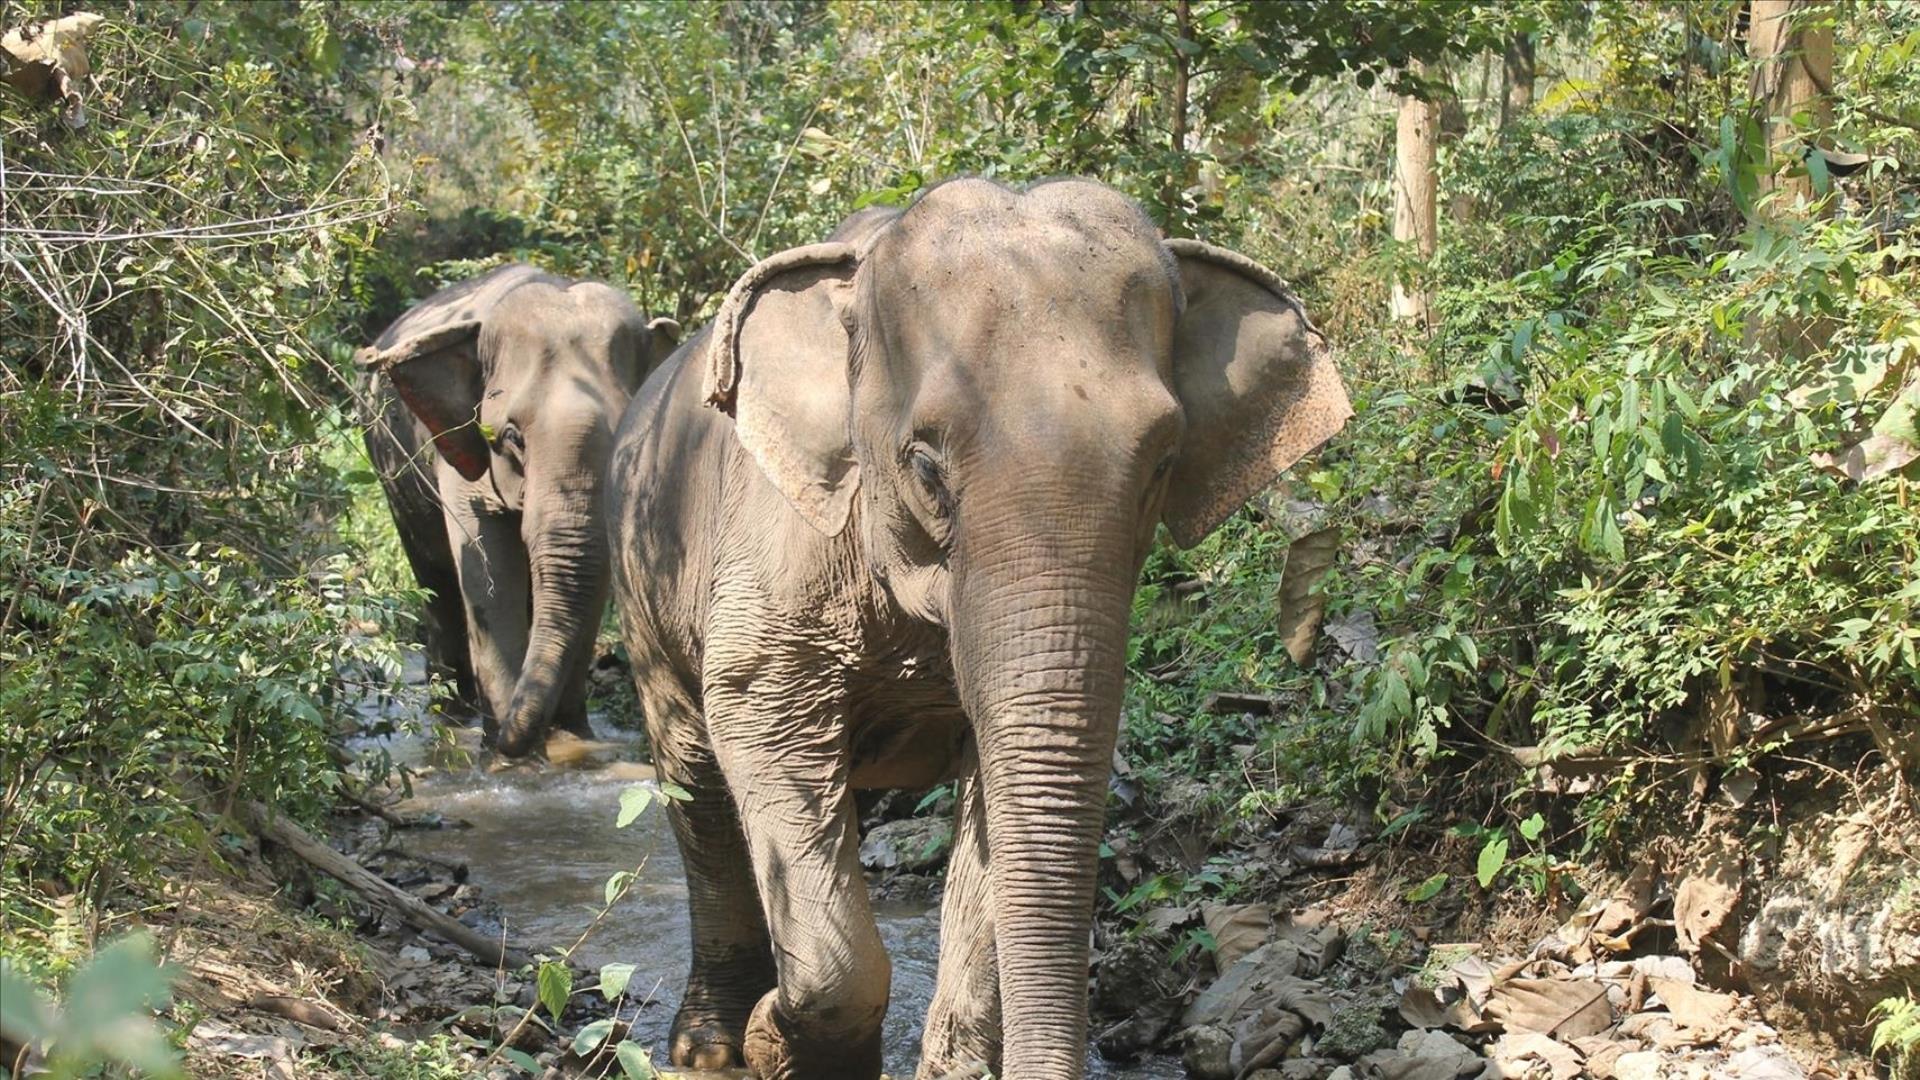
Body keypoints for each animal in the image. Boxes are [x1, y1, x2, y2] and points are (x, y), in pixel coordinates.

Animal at [360, 264, 679, 757]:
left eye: (628, 426)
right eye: (512, 437)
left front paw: (570, 739)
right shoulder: (461, 447)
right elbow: (488, 569)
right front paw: (508, 756)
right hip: (389, 467)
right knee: (435, 577)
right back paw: (451, 713)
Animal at [606, 178, 1351, 1080]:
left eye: (1164, 464)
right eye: (926, 467)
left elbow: (999, 788)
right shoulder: (770, 562)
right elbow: (760, 720)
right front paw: (772, 1038)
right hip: (644, 587)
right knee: (696, 782)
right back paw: (709, 1045)